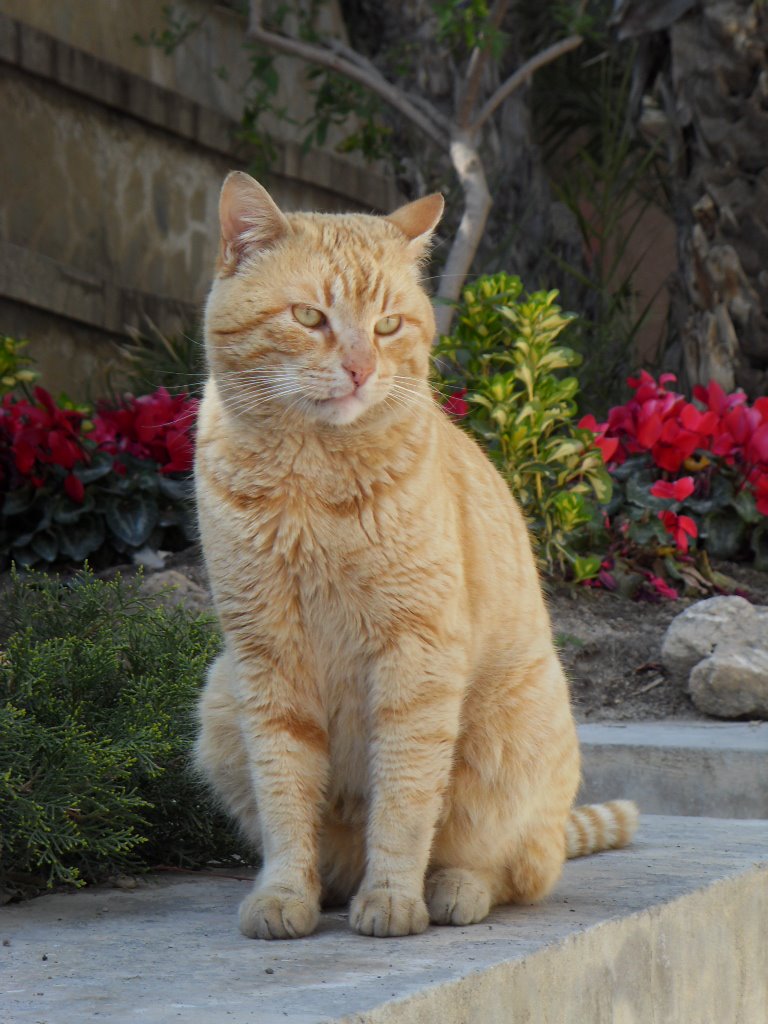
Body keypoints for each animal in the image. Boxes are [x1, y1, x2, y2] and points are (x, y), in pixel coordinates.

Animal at [193, 172, 638, 937]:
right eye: (309, 317)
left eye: (388, 326)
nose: (360, 369)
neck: (310, 483)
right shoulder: (265, 659)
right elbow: (285, 795)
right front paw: (286, 893)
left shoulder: (417, 656)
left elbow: (404, 798)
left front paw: (394, 897)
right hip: (218, 703)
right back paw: (332, 886)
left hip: (508, 735)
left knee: (512, 866)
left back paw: (453, 889)